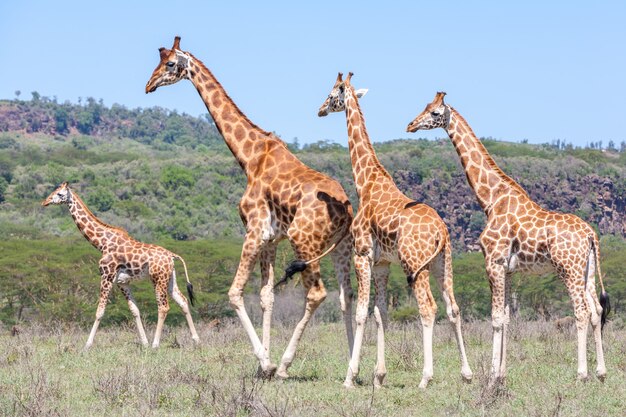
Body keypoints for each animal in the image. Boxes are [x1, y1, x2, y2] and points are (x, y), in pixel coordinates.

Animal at [42, 182, 197, 348]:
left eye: (59, 194)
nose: (45, 202)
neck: (101, 243)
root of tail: (172, 256)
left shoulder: (107, 275)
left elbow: (100, 311)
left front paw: (87, 345)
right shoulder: (122, 282)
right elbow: (135, 310)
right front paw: (144, 343)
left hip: (158, 279)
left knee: (163, 307)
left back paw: (156, 344)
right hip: (169, 278)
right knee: (183, 301)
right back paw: (196, 340)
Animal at [143, 35, 354, 376]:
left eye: (170, 63)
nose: (149, 85)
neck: (250, 157)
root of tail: (346, 209)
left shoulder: (254, 230)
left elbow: (234, 293)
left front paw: (266, 362)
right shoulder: (270, 239)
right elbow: (267, 296)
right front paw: (264, 360)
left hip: (304, 240)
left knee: (317, 293)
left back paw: (285, 365)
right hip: (342, 247)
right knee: (347, 294)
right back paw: (352, 366)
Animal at [316, 73, 468, 388]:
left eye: (332, 95)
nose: (320, 110)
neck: (365, 182)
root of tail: (441, 231)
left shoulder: (362, 255)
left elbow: (362, 312)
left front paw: (351, 376)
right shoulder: (383, 263)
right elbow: (381, 312)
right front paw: (379, 376)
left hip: (415, 263)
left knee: (428, 308)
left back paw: (426, 378)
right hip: (442, 263)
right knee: (453, 307)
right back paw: (467, 373)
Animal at [408, 92, 608, 384]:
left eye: (434, 113)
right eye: (424, 107)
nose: (410, 125)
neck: (491, 199)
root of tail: (591, 234)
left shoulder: (493, 261)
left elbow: (494, 318)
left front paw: (492, 376)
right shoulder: (508, 269)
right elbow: (506, 318)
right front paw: (501, 373)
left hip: (568, 268)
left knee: (581, 311)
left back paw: (581, 374)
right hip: (587, 271)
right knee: (596, 311)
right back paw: (601, 372)